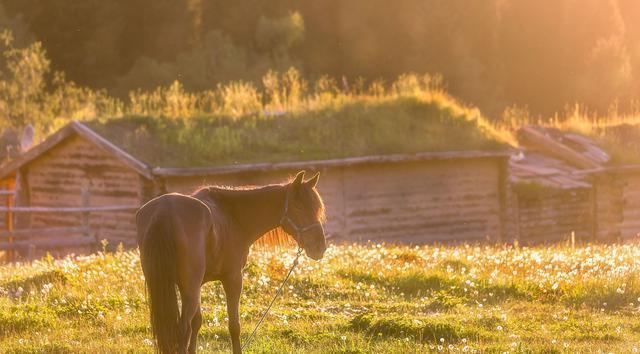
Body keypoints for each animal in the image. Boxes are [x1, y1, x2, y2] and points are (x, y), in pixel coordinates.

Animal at [135, 170, 324, 352]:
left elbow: (197, 322)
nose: (319, 246)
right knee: (183, 331)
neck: (233, 216)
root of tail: (163, 212)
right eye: (298, 206)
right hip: (190, 290)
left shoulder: (194, 286)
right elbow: (234, 325)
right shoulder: (233, 279)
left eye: (317, 208)